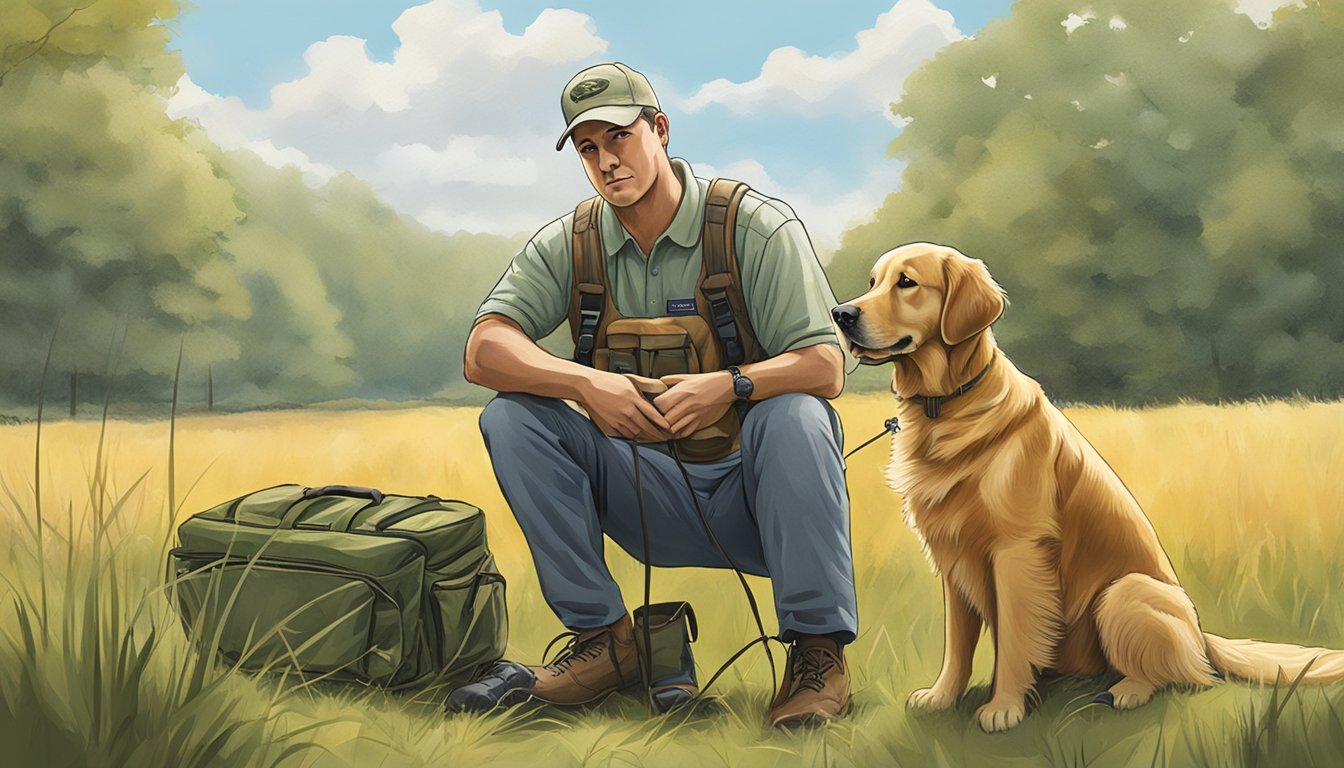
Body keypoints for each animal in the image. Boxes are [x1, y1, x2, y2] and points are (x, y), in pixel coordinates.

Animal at [827, 244, 1344, 731]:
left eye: (906, 283)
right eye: (872, 282)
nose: (841, 314)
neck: (946, 407)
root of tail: (1202, 635)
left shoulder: (1017, 551)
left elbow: (1014, 638)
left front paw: (1004, 707)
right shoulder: (954, 558)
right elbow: (958, 643)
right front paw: (941, 698)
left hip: (1123, 593)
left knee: (1183, 676)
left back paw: (1127, 691)